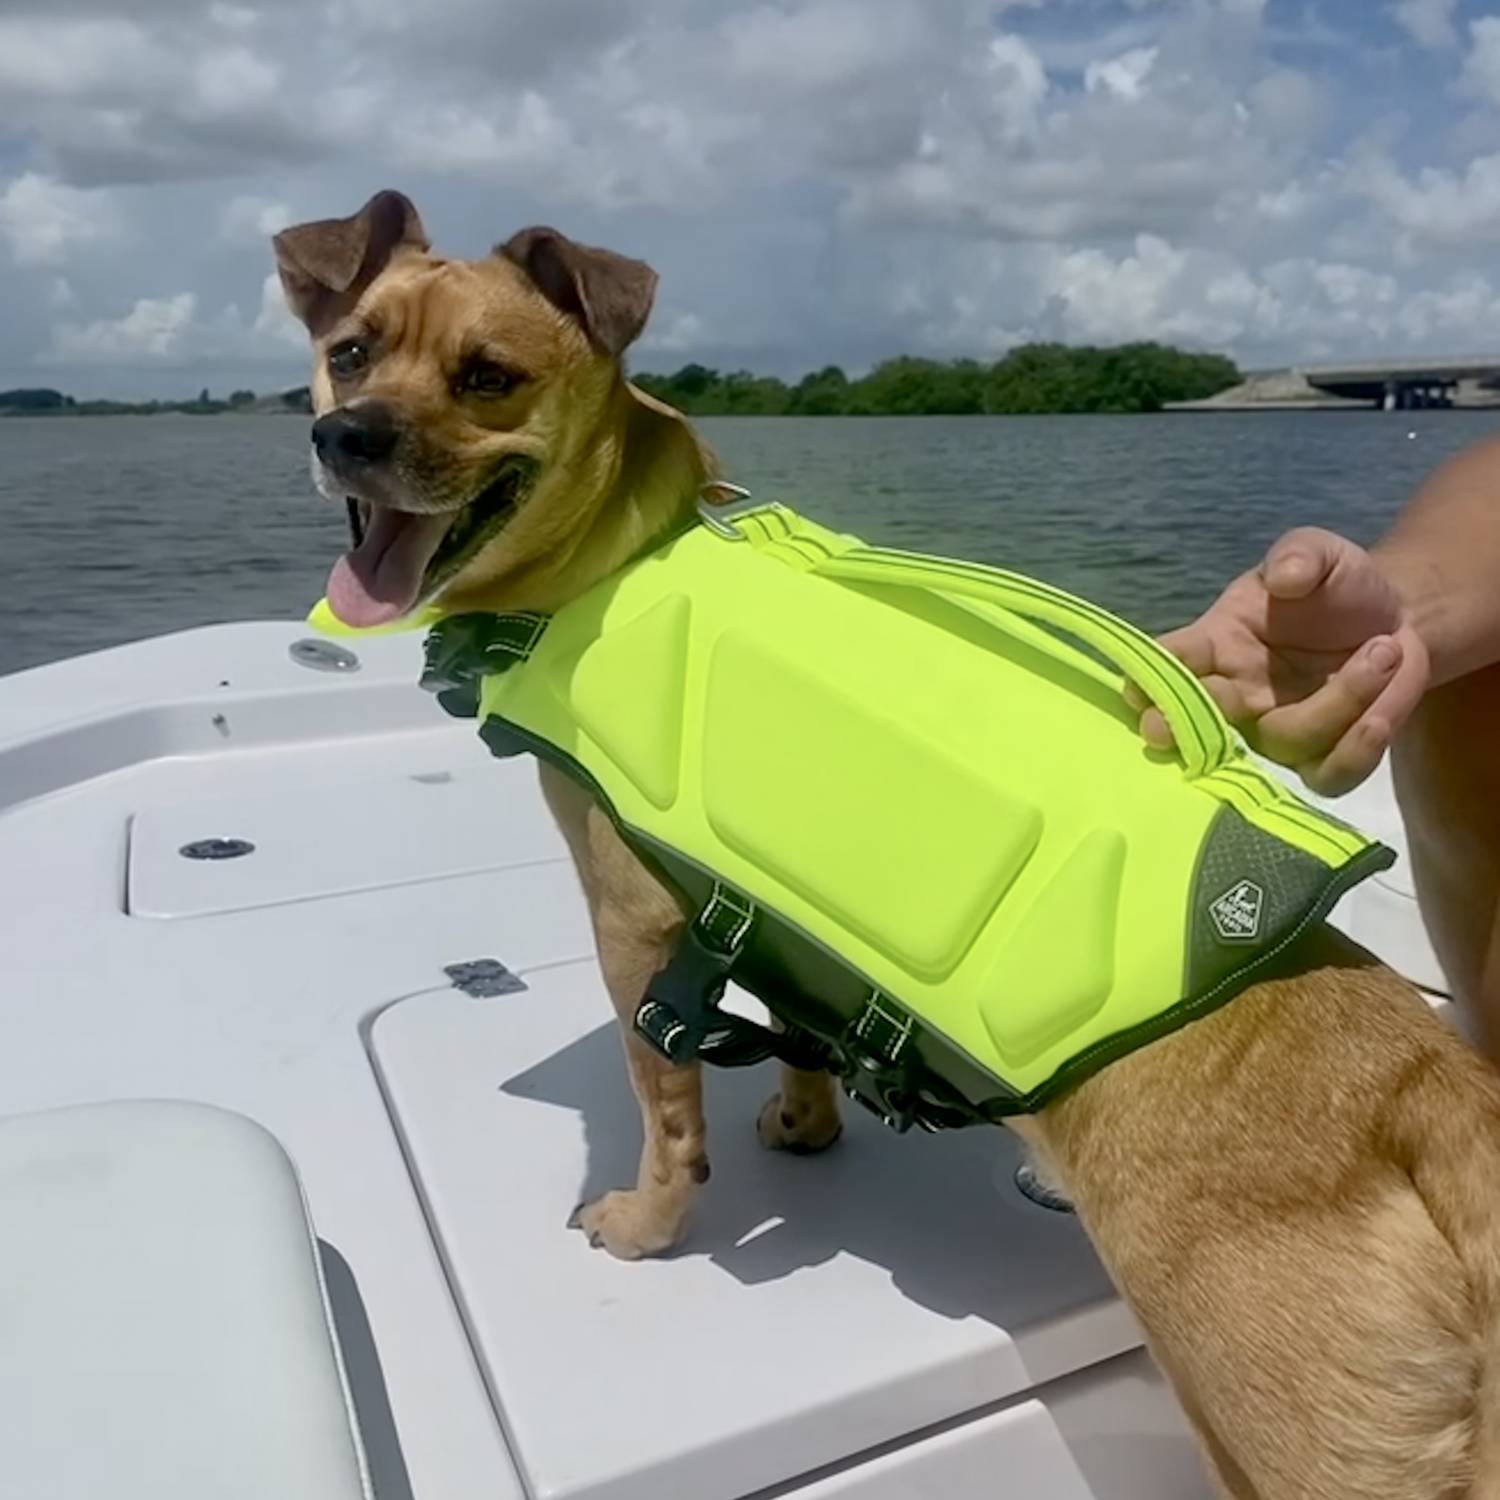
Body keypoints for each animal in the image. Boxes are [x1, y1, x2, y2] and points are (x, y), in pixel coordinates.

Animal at [276, 190, 1500, 1500]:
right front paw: (803, 1127)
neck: (622, 546)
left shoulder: (633, 924)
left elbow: (664, 1112)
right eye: (351, 350)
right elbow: (800, 1030)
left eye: (488, 376)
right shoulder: (761, 930)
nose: (347, 435)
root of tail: (1423, 1096)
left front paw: (645, 1228)